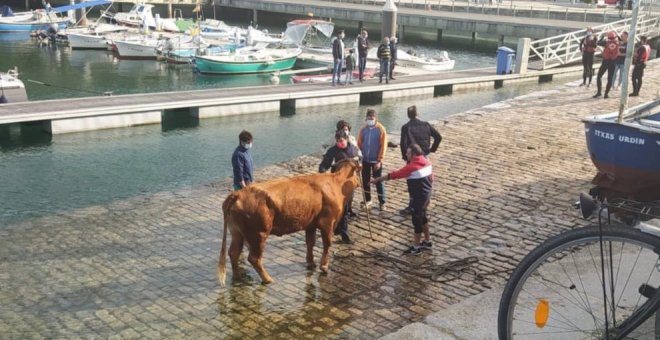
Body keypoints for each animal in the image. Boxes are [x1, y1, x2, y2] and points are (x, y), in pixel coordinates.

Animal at [218, 159, 360, 284]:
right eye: (359, 169)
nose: (359, 182)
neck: (336, 184)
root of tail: (237, 194)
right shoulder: (328, 222)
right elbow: (327, 244)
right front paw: (324, 267)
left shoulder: (311, 224)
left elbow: (310, 242)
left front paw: (311, 263)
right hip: (258, 234)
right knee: (254, 258)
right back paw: (267, 279)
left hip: (237, 232)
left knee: (233, 253)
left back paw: (237, 277)